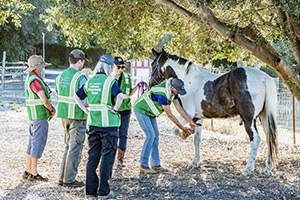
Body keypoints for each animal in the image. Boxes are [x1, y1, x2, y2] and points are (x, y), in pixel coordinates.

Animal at [150, 48, 278, 177]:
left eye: (152, 64)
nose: (150, 83)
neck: (188, 80)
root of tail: (264, 77)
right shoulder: (197, 118)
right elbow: (197, 140)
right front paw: (195, 162)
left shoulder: (188, 114)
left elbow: (175, 130)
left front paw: (184, 135)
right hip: (264, 117)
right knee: (269, 139)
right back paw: (268, 168)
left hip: (248, 119)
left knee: (255, 139)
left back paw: (248, 169)